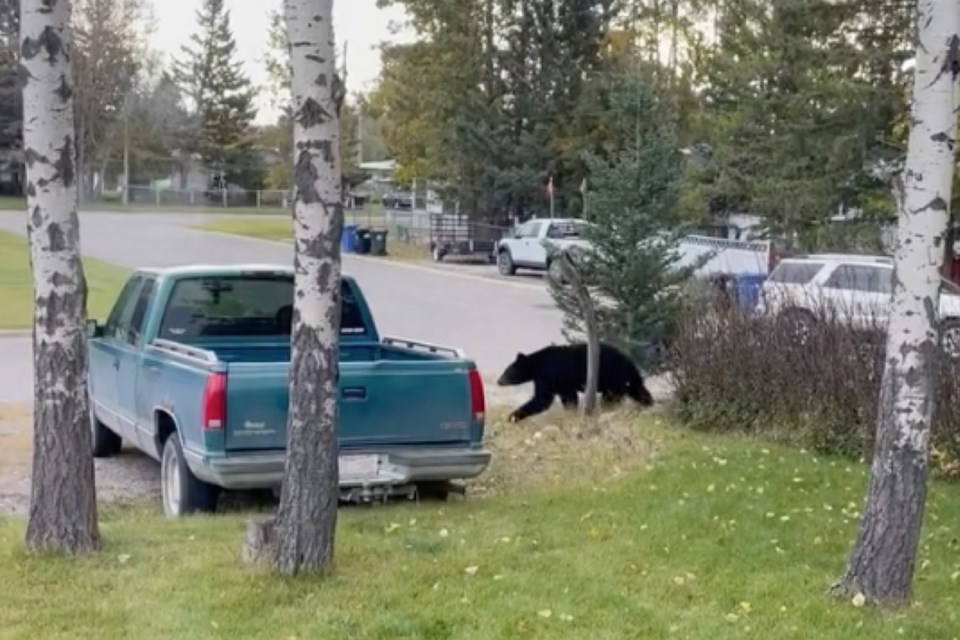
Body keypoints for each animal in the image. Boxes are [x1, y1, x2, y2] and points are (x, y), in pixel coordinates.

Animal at [496, 342, 652, 422]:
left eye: (507, 371)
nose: (499, 381)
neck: (537, 364)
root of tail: (630, 363)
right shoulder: (560, 382)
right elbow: (568, 397)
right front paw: (570, 412)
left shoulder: (549, 374)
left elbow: (542, 400)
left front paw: (513, 416)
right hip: (626, 379)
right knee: (638, 390)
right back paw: (648, 403)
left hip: (613, 376)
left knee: (612, 397)